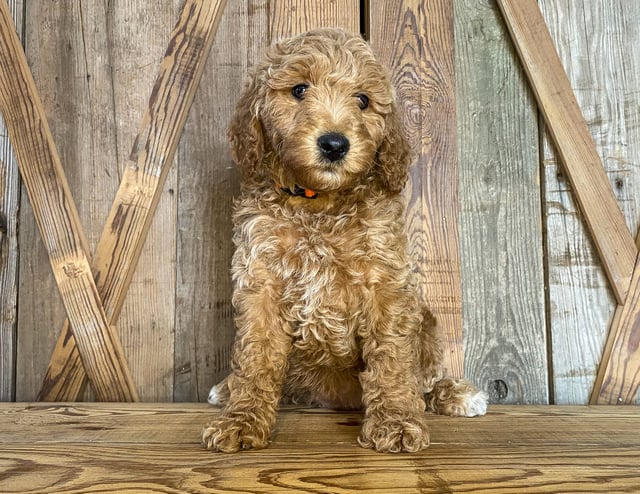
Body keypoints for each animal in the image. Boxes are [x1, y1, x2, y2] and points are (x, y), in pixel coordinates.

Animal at [202, 26, 488, 452]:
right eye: (299, 89)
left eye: (364, 100)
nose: (335, 144)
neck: (319, 201)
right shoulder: (261, 278)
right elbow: (257, 357)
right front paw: (241, 419)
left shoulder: (387, 282)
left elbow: (392, 359)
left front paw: (396, 422)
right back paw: (227, 388)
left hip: (427, 324)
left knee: (423, 383)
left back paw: (455, 394)